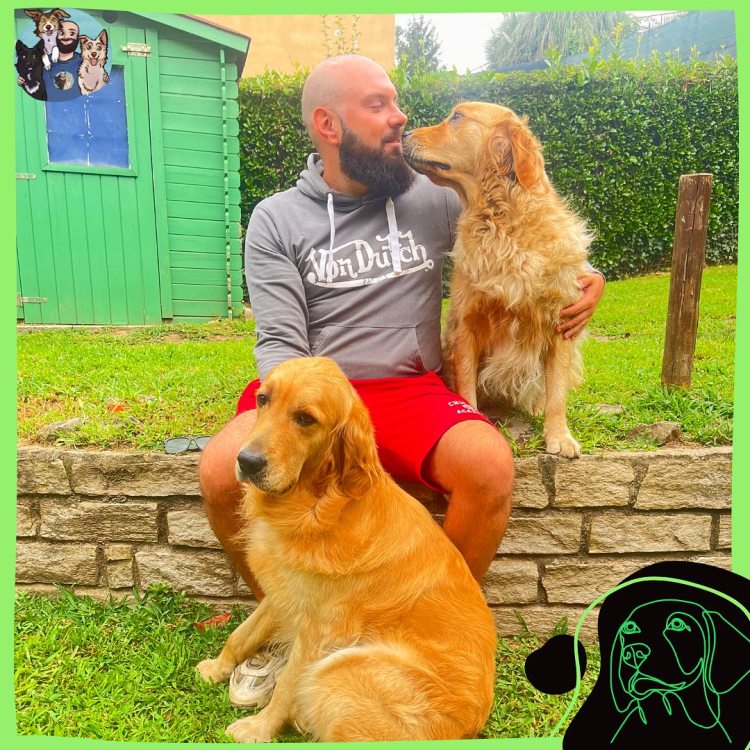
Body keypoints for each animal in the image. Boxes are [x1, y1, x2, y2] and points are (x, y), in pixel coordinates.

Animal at [196, 356, 497, 743]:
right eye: (263, 399)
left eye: (305, 418)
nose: (247, 461)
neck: (318, 506)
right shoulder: (284, 592)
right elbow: (242, 634)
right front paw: (217, 667)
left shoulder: (320, 632)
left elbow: (287, 685)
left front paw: (259, 728)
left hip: (338, 668)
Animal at [403, 102, 593, 458]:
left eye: (457, 117)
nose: (403, 133)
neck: (502, 220)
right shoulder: (466, 325)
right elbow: (466, 388)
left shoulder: (560, 324)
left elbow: (557, 394)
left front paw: (559, 435)